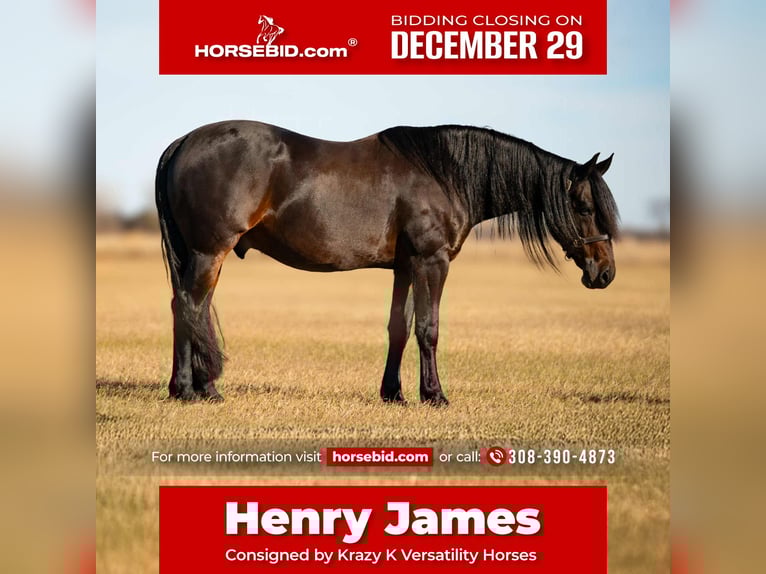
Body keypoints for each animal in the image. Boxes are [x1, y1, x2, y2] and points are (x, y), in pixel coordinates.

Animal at [155, 121, 619, 405]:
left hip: (202, 255)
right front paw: (434, 395)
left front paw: (393, 393)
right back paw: (193, 389)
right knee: (190, 308)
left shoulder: (405, 266)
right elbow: (428, 329)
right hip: (209, 251)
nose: (605, 273)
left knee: (186, 308)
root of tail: (183, 143)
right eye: (584, 207)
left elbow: (400, 326)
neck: (446, 175)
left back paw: (196, 386)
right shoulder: (432, 262)